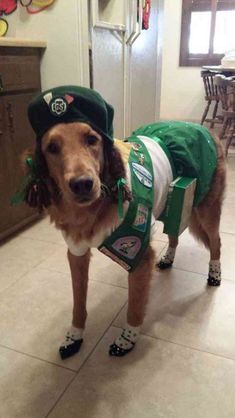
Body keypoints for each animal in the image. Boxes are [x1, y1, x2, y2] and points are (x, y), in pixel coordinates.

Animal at [25, 85, 226, 360]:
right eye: (52, 147)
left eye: (92, 139)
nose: (83, 184)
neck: (95, 207)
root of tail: (204, 129)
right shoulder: (76, 252)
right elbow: (78, 302)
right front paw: (75, 335)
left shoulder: (138, 251)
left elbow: (135, 305)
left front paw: (128, 338)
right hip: (170, 207)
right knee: (174, 234)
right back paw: (169, 258)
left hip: (205, 209)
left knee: (216, 241)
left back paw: (215, 274)